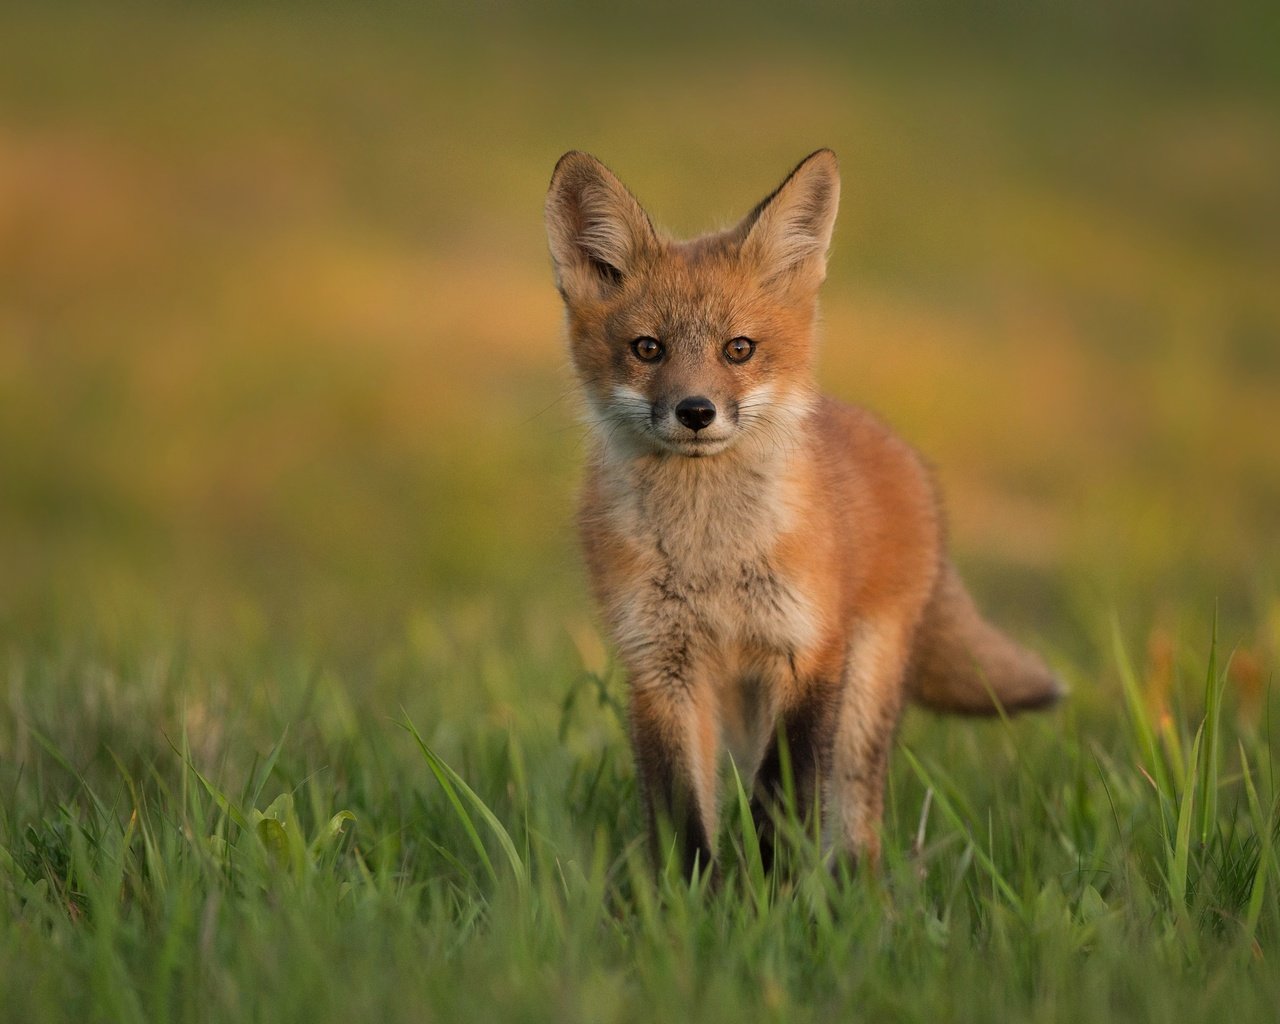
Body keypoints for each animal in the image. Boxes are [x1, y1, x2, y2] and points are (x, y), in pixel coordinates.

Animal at [545, 147, 1064, 875]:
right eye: (648, 348)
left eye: (739, 349)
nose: (696, 411)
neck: (712, 554)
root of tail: (905, 457)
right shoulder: (660, 664)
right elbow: (683, 812)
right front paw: (693, 896)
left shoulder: (807, 651)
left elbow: (779, 799)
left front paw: (770, 891)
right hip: (738, 705)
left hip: (861, 695)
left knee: (853, 813)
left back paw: (854, 886)